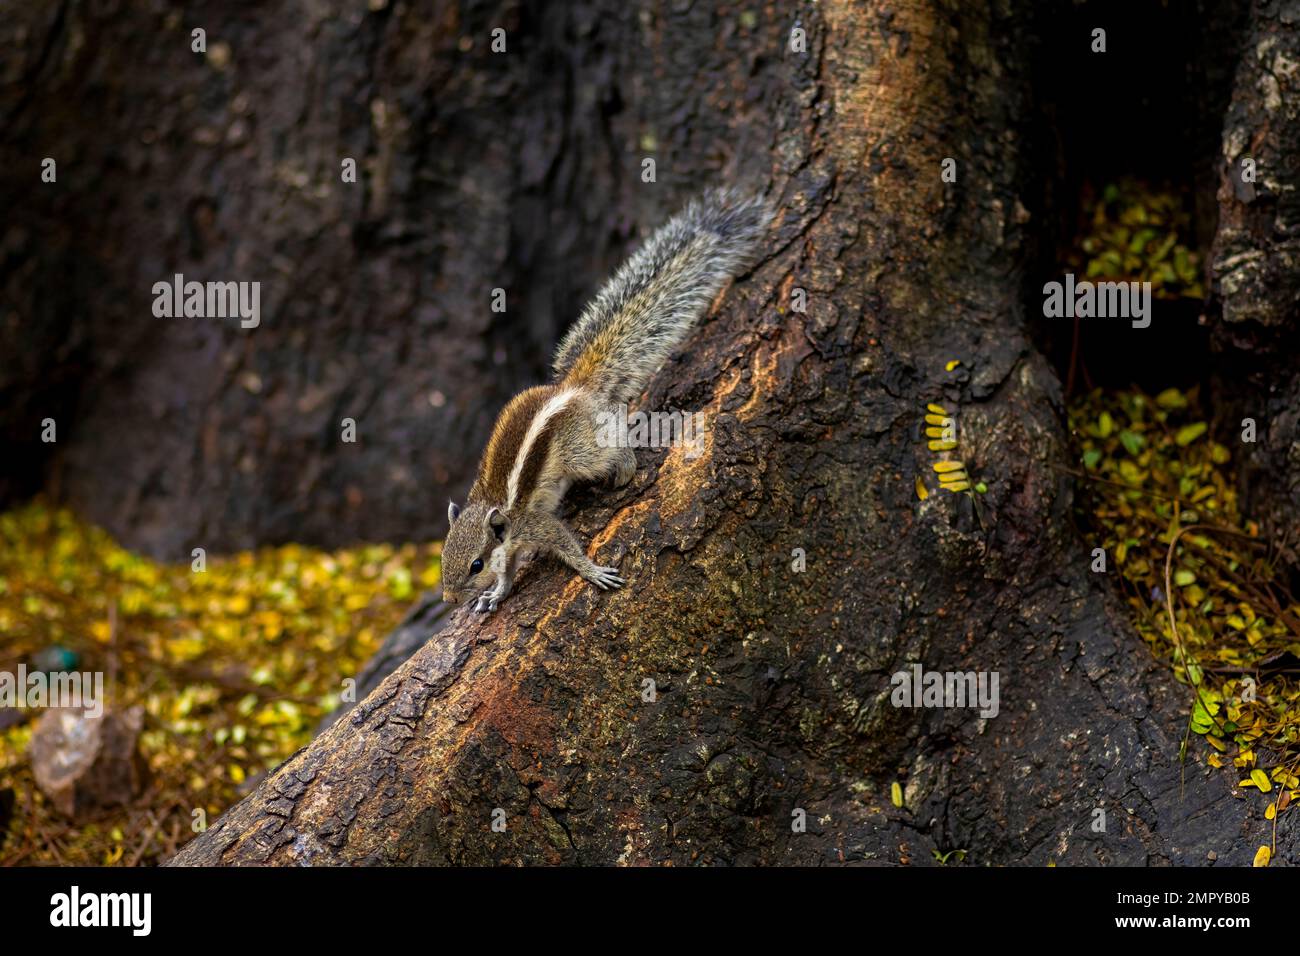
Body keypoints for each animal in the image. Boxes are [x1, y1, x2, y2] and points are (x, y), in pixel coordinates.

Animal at [440, 188, 769, 613]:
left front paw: (590, 570)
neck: (494, 511)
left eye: (475, 564)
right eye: (443, 557)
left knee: (612, 441)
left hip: (582, 452)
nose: (448, 599)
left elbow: (564, 543)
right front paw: (496, 594)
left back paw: (626, 464)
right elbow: (509, 571)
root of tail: (574, 389)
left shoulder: (535, 525)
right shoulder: (512, 546)